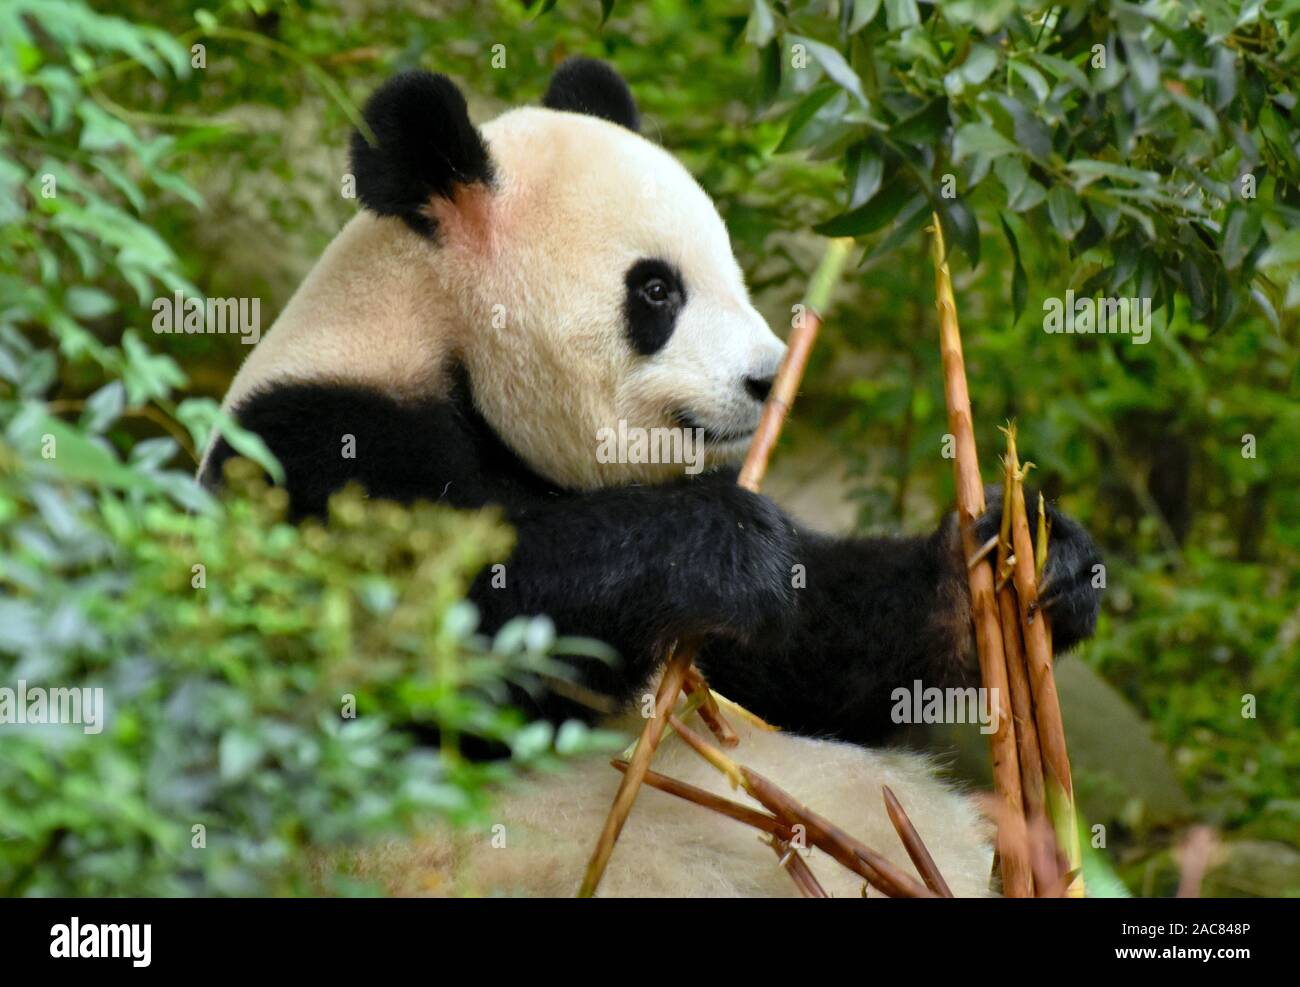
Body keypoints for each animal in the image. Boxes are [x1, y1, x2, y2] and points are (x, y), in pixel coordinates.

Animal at [200, 57, 1097, 899]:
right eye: (657, 289)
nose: (767, 378)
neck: (432, 335)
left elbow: (796, 657)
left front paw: (1023, 561)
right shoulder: (318, 446)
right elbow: (437, 646)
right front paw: (726, 542)